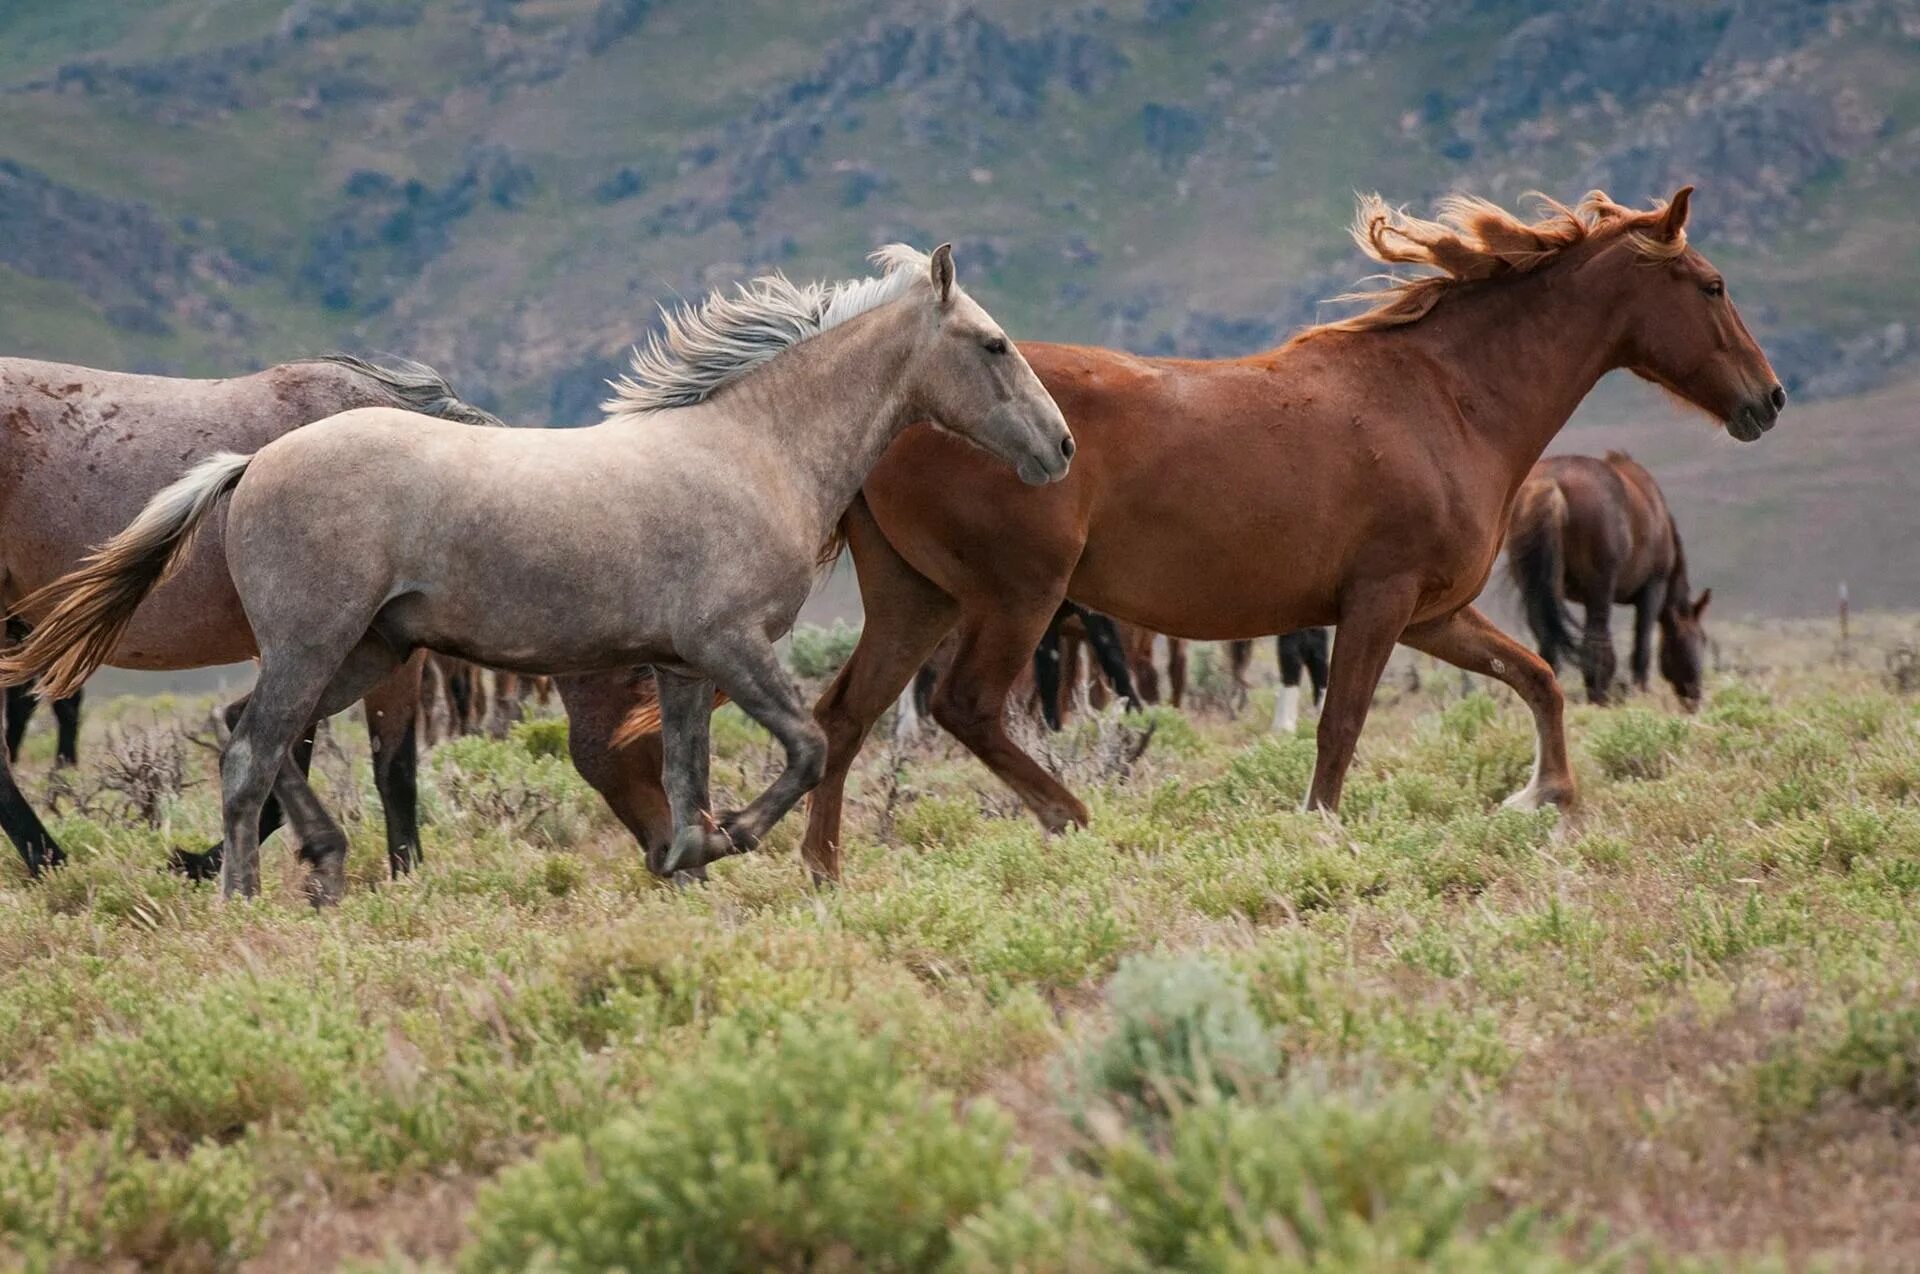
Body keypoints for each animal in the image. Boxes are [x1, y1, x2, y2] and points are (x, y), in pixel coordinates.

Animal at [1497, 450, 1712, 709]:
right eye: (1701, 638)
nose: (1695, 698)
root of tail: (1550, 484)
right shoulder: (1653, 589)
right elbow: (1641, 648)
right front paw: (1641, 696)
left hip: (1534, 588)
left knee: (1546, 645)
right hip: (1599, 590)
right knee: (1595, 649)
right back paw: (1599, 700)